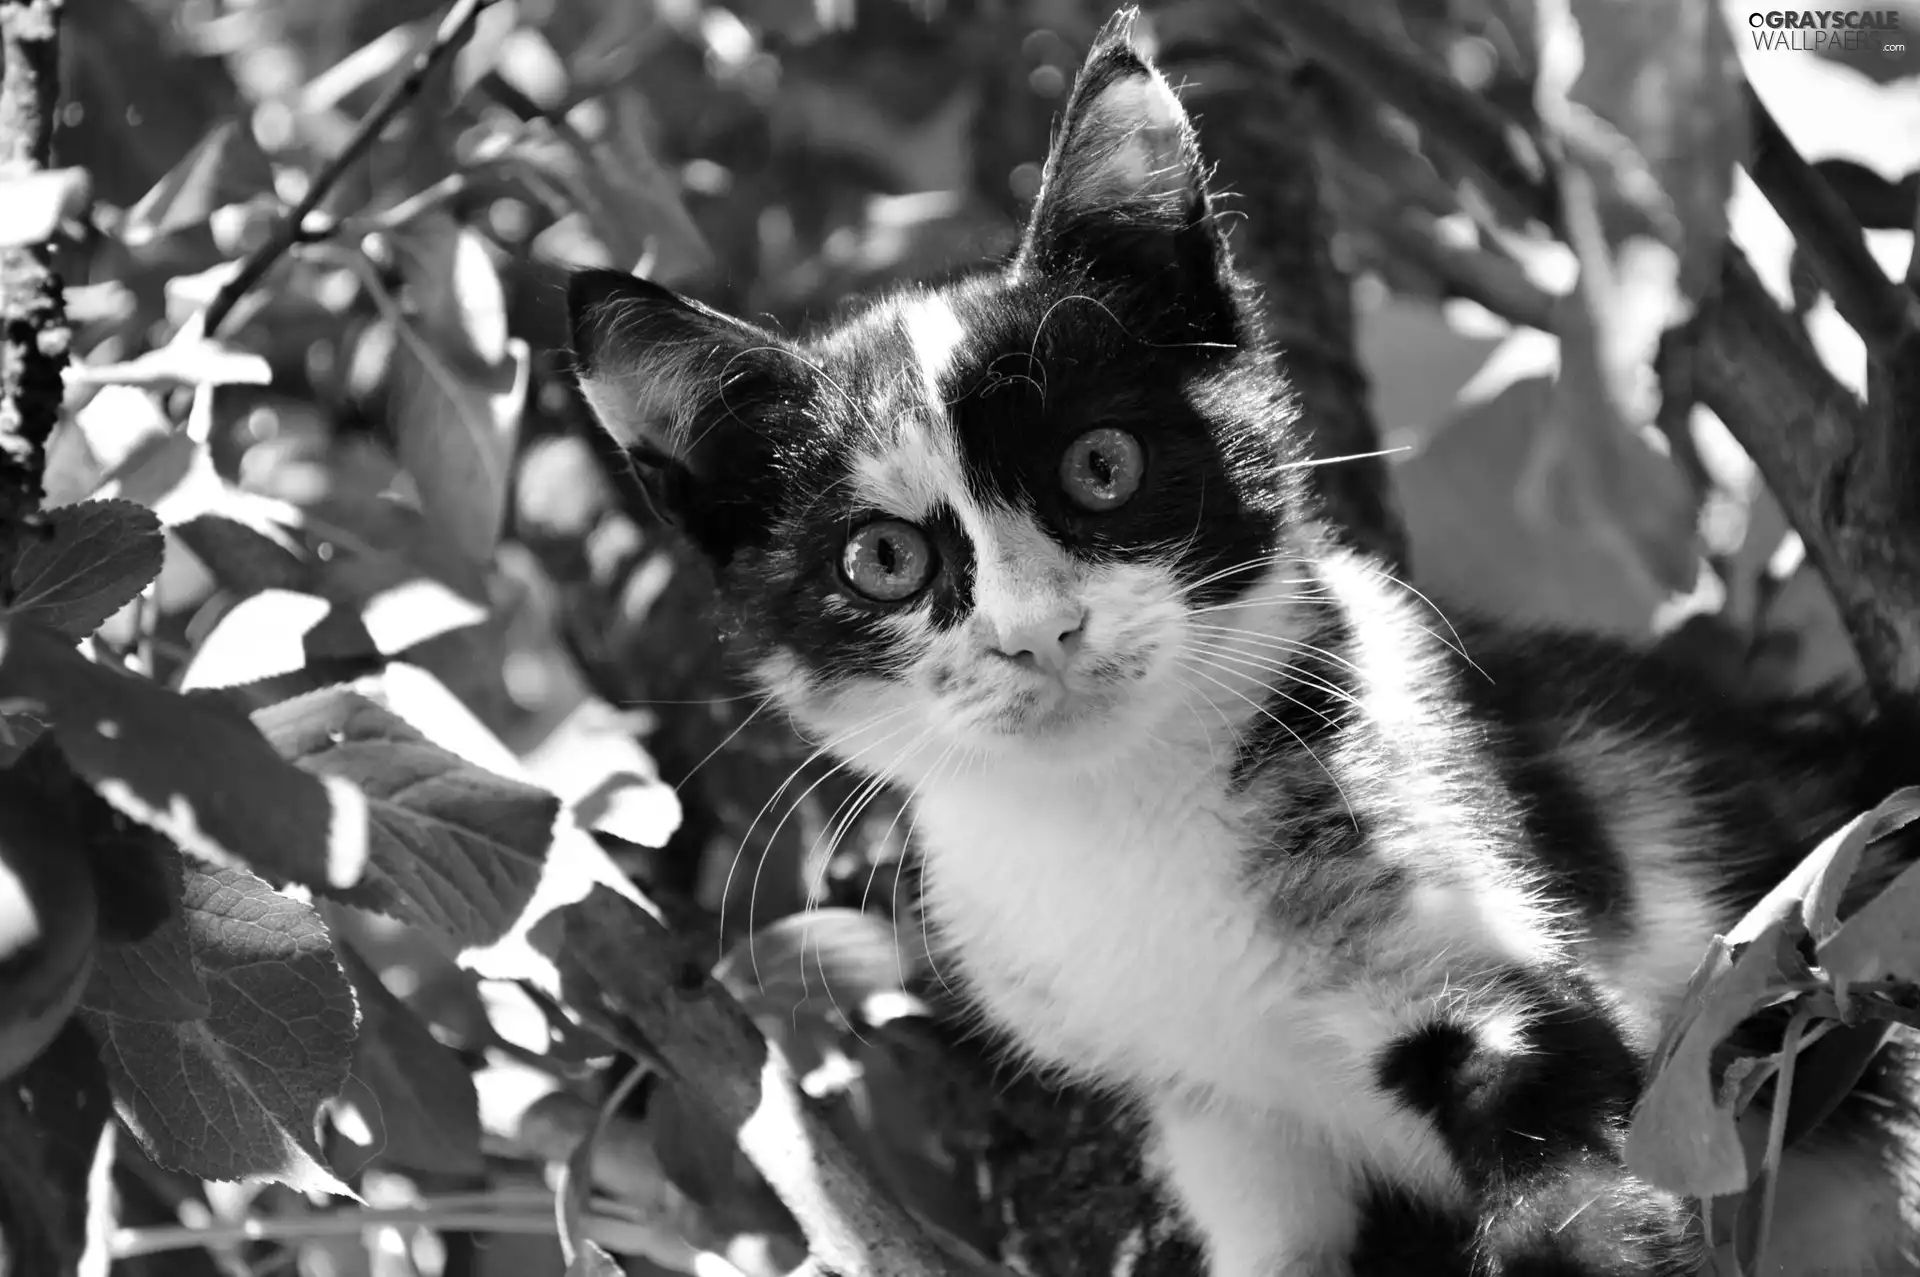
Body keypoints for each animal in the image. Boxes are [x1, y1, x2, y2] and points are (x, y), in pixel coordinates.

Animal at [564, 12, 1920, 1275]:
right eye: (884, 560)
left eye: (1102, 464)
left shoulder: (1492, 938)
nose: (1037, 631)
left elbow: (1586, 1196)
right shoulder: (1217, 1117)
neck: (1124, 814)